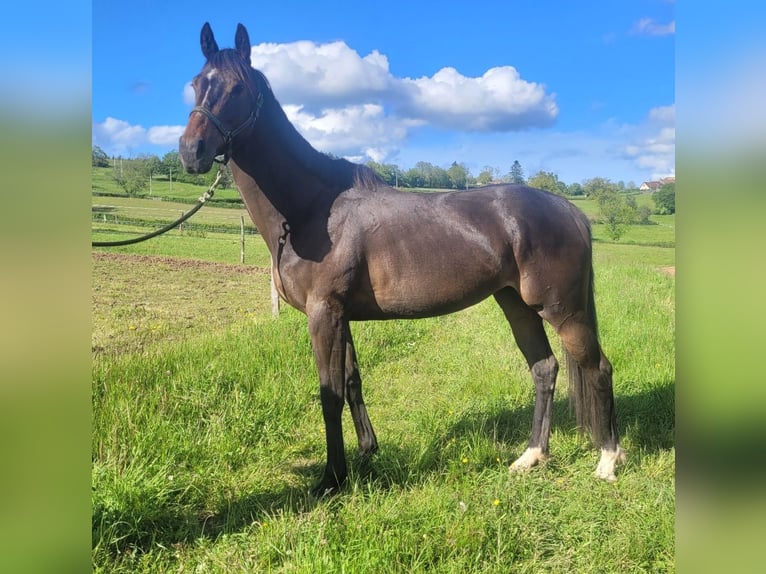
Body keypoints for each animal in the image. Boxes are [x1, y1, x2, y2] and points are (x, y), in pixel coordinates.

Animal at [182, 21, 632, 500]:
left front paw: (332, 478)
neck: (313, 212)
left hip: (563, 309)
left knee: (598, 368)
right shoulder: (341, 315)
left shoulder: (324, 313)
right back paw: (531, 457)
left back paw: (607, 462)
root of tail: (569, 209)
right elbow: (351, 382)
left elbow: (329, 393)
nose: (191, 150)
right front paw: (366, 452)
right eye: (196, 83)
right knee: (544, 370)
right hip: (517, 304)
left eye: (237, 88)